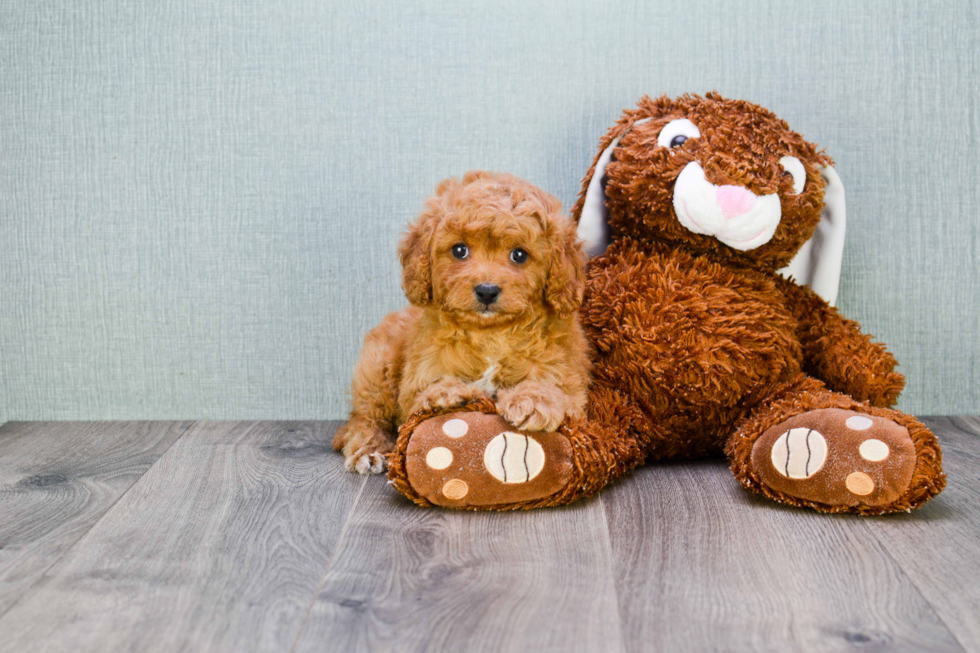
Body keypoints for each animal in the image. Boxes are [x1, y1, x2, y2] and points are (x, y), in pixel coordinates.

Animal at [330, 171, 588, 472]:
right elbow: (423, 393)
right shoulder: (417, 380)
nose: (487, 290)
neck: (490, 333)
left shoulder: (569, 381)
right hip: (377, 368)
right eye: (459, 250)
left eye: (519, 255)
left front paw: (531, 400)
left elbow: (556, 389)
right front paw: (445, 393)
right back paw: (369, 450)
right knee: (364, 418)